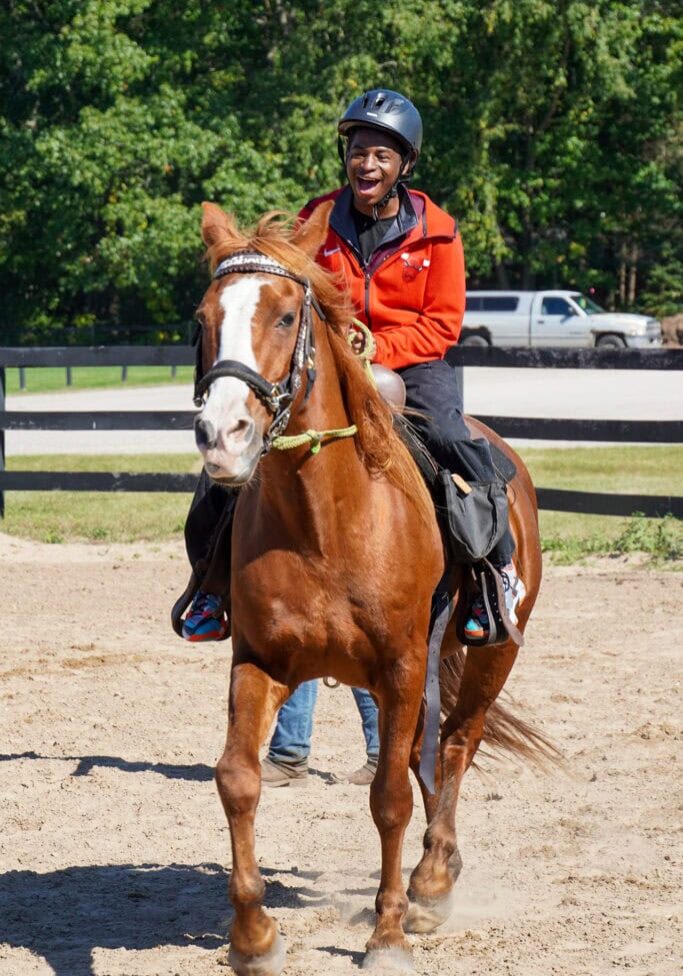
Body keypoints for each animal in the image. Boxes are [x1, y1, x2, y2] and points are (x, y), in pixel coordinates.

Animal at [192, 199, 549, 975]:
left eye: (286, 315)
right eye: (203, 318)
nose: (222, 435)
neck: (327, 521)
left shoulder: (401, 667)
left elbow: (388, 798)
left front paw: (386, 936)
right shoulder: (259, 663)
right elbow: (236, 778)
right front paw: (253, 936)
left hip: (491, 653)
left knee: (455, 746)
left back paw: (432, 882)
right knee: (428, 756)